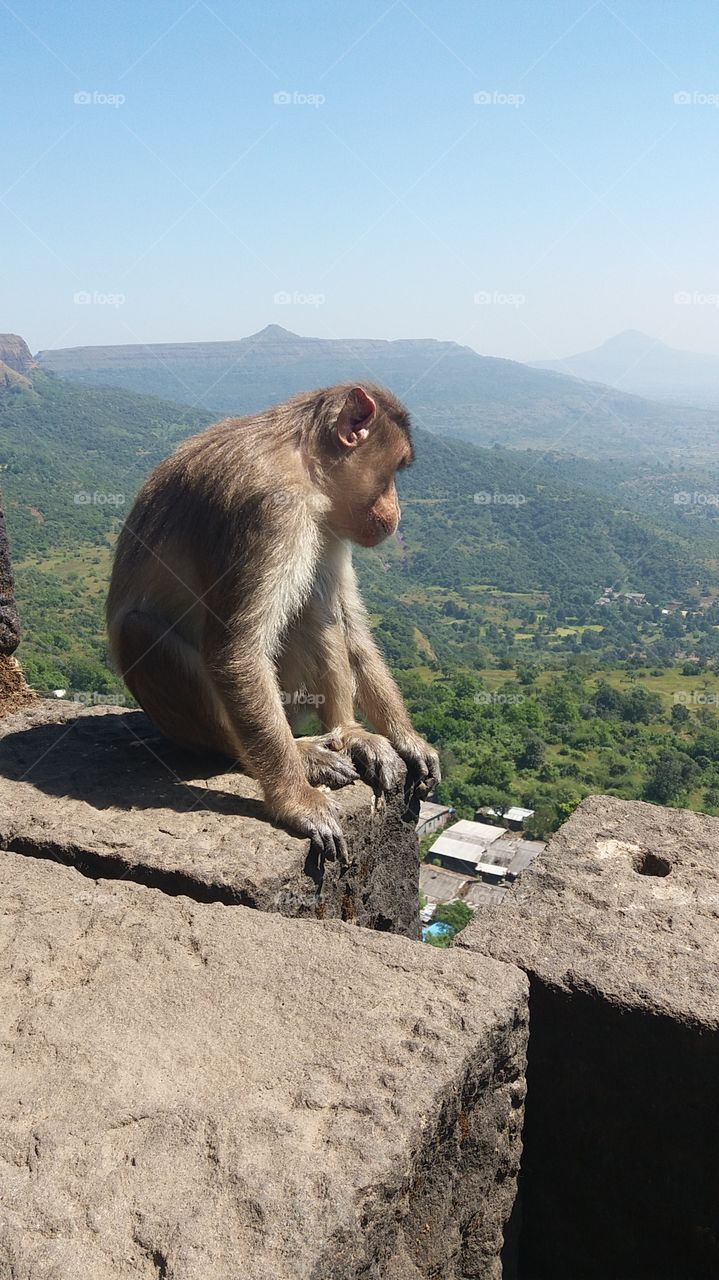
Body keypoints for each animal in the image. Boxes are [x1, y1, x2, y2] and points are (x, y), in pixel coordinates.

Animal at [106, 383, 440, 860]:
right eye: (393, 470)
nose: (396, 512)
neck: (302, 463)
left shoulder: (326, 521)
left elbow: (348, 621)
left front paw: (407, 737)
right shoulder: (272, 508)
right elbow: (236, 649)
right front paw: (295, 803)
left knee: (316, 606)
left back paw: (349, 733)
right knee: (141, 631)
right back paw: (295, 757)